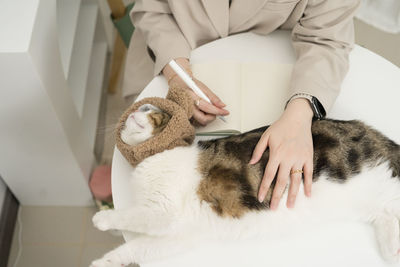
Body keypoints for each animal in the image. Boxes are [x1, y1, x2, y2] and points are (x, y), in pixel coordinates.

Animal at [90, 103, 400, 266]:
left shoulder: (163, 210)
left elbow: (132, 215)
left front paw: (103, 219)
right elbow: (136, 248)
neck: (153, 158)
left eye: (148, 110)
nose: (132, 112)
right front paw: (103, 262)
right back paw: (393, 250)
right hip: (379, 207)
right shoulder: (181, 235)